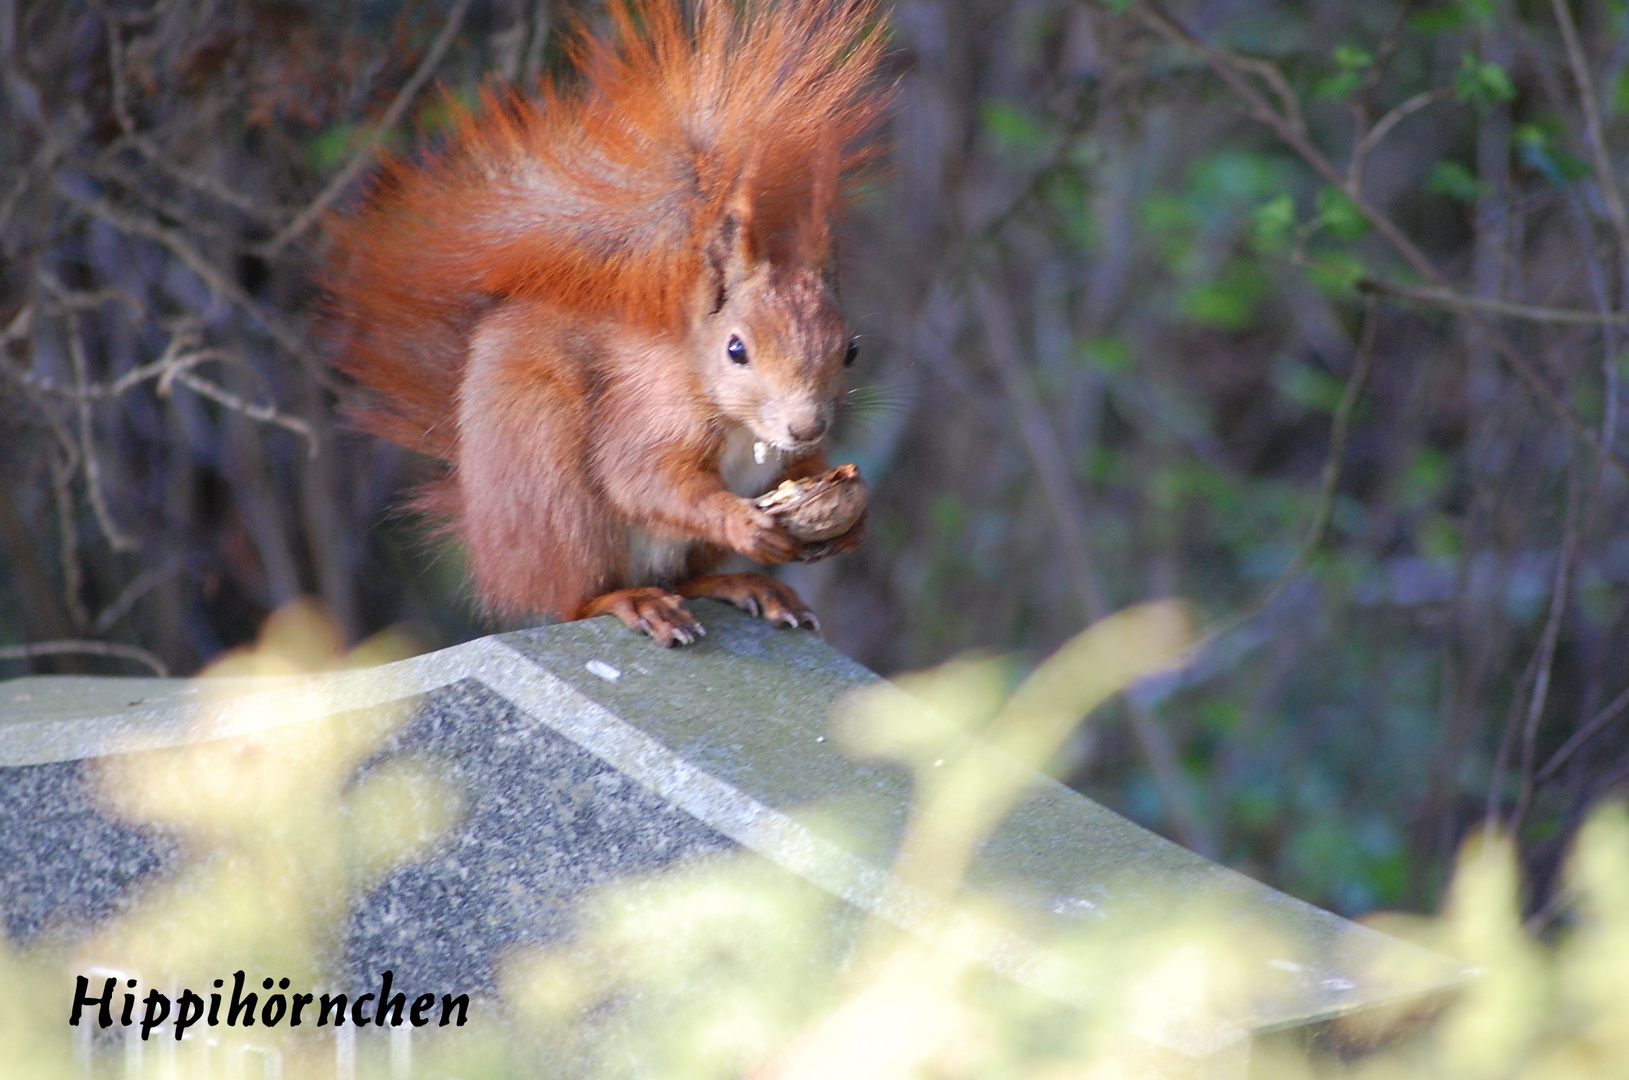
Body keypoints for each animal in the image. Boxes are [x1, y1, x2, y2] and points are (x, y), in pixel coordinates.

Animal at [325, 0, 892, 645]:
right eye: (736, 350)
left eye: (850, 350)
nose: (805, 426)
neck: (737, 424)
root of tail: (488, 537)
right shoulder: (643, 415)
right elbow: (643, 479)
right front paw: (740, 522)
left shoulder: (789, 456)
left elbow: (809, 469)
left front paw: (855, 513)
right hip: (556, 496)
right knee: (576, 598)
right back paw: (635, 601)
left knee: (686, 577)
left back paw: (745, 584)